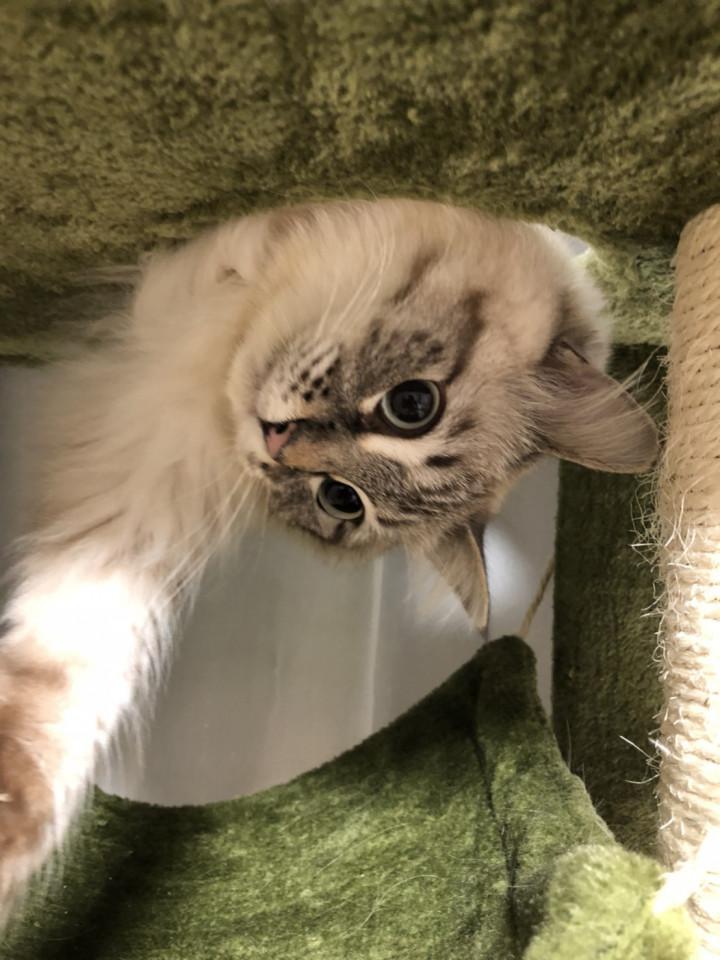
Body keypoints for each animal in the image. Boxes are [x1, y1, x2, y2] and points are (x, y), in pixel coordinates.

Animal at [0, 198, 657, 921]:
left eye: (340, 500)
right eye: (413, 405)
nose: (275, 442)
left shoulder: (133, 522)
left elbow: (60, 686)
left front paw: (8, 836)